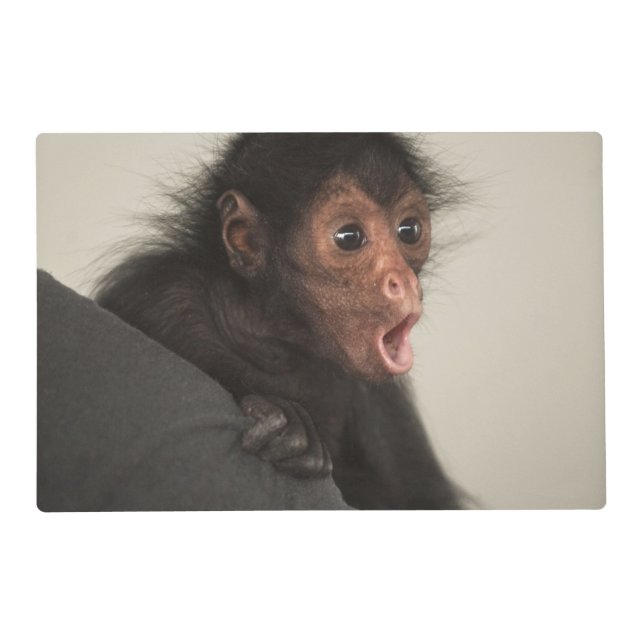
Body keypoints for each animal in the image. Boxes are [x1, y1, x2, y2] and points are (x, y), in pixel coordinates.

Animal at [93, 133, 464, 509]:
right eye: (349, 237)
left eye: (409, 230)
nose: (403, 280)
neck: (272, 345)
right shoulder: (164, 298)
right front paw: (290, 423)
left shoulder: (379, 395)